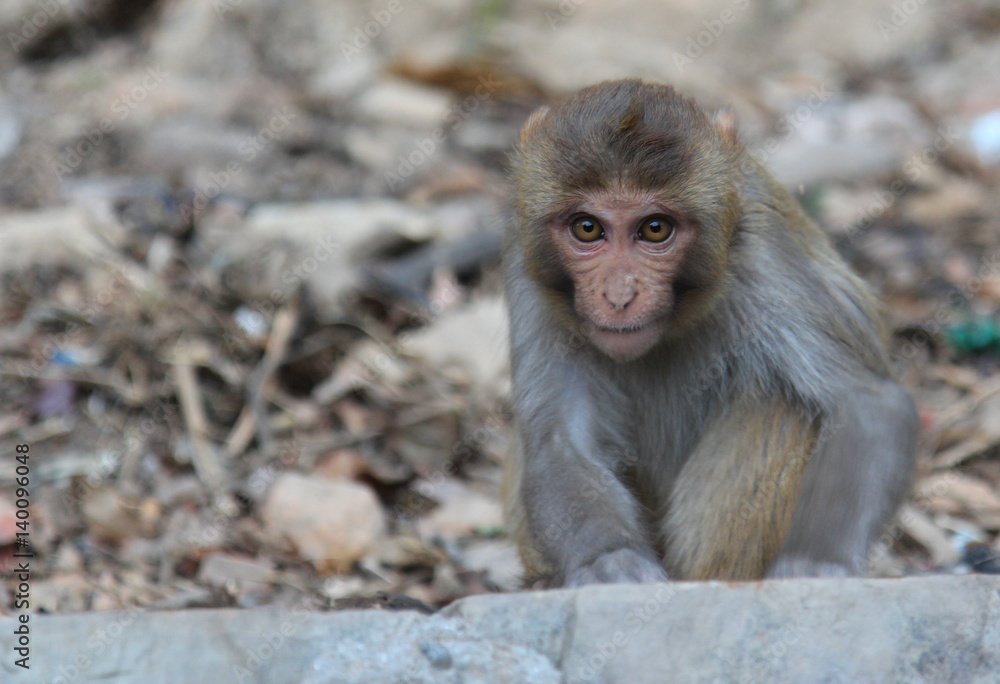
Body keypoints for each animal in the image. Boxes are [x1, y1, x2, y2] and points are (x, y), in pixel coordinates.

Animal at [504, 77, 916, 584]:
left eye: (655, 229)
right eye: (587, 228)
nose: (619, 295)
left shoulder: (766, 255)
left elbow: (867, 403)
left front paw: (816, 563)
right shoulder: (525, 266)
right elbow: (558, 439)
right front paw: (608, 561)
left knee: (781, 405)